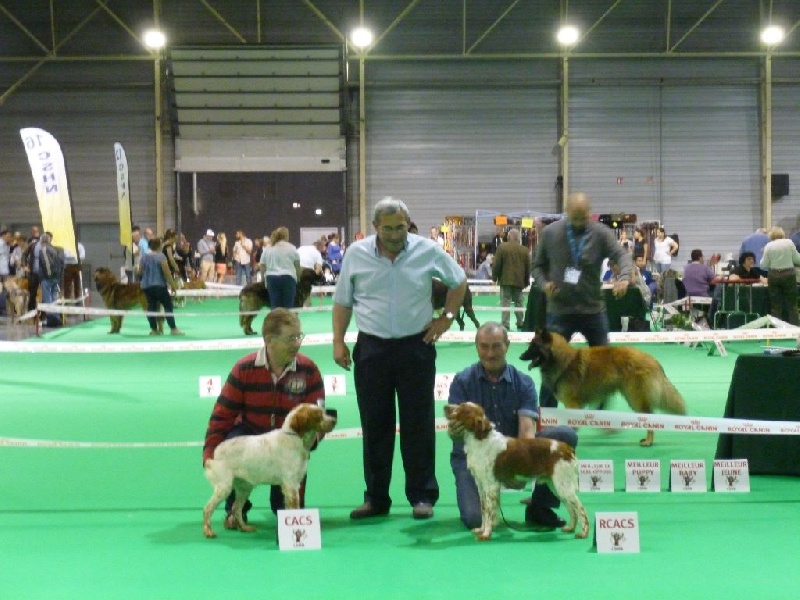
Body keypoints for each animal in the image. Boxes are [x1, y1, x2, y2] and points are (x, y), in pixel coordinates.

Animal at [203, 404, 338, 540]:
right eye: (318, 415)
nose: (334, 420)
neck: (294, 438)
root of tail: (214, 454)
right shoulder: (291, 484)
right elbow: (295, 508)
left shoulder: (291, 486)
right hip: (224, 487)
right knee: (207, 508)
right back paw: (208, 531)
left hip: (244, 487)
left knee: (236, 508)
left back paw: (244, 527)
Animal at [444, 400, 588, 540]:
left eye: (461, 409)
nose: (445, 406)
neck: (480, 439)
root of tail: (567, 449)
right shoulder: (480, 484)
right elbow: (484, 509)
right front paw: (481, 529)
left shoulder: (490, 485)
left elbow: (489, 511)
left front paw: (486, 534)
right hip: (556, 486)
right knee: (572, 509)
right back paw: (570, 528)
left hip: (563, 485)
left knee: (581, 509)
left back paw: (583, 533)